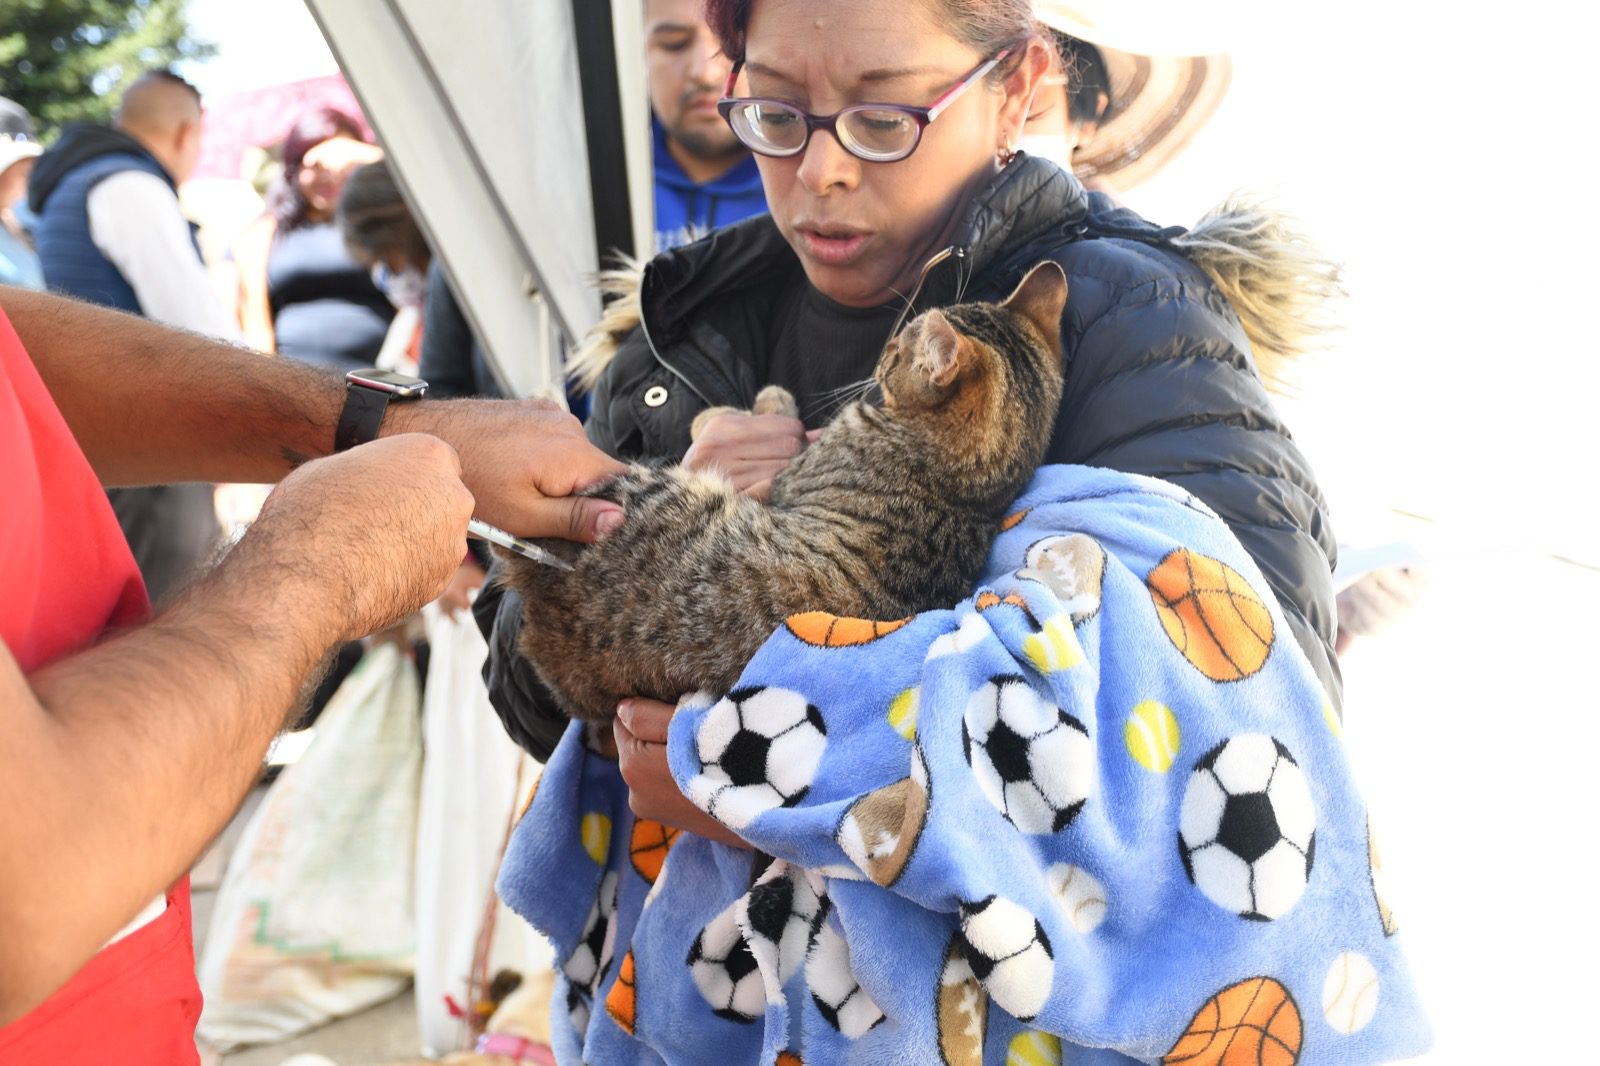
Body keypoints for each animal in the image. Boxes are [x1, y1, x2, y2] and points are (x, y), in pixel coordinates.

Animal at [496, 260, 1075, 717]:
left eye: (897, 351)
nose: (882, 350)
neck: (969, 487)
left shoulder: (793, 472)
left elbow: (764, 417)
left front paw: (740, 406)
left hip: (638, 493)